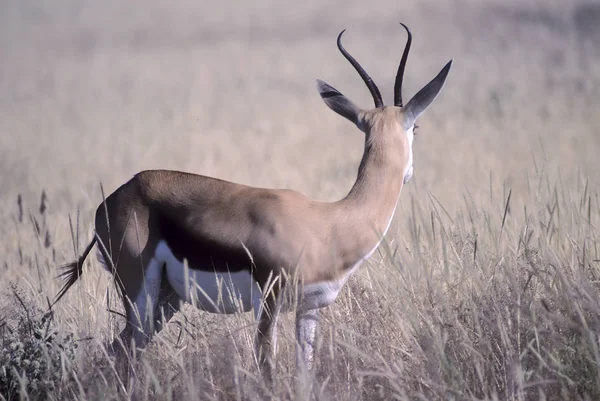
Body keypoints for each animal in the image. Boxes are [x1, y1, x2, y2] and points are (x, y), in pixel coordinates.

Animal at [54, 24, 452, 382]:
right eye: (416, 127)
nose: (409, 174)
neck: (329, 222)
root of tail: (114, 198)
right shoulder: (269, 301)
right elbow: (266, 370)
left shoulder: (308, 308)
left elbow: (304, 372)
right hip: (142, 297)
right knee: (121, 354)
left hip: (165, 302)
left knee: (117, 351)